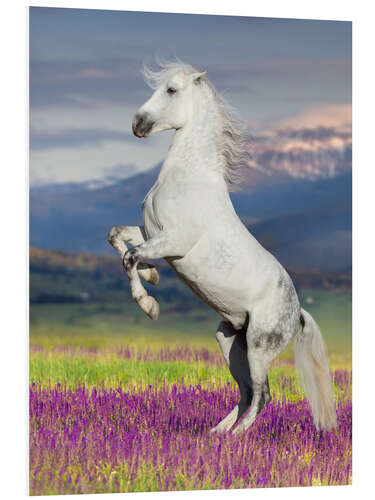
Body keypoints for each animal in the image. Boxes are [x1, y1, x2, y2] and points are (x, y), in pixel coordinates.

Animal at [106, 59, 338, 434]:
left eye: (171, 90)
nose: (137, 124)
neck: (188, 178)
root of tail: (298, 312)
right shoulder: (150, 232)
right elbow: (117, 237)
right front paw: (153, 276)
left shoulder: (174, 242)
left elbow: (130, 256)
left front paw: (150, 305)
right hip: (229, 340)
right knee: (245, 391)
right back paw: (216, 433)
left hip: (259, 346)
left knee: (263, 394)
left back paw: (237, 437)